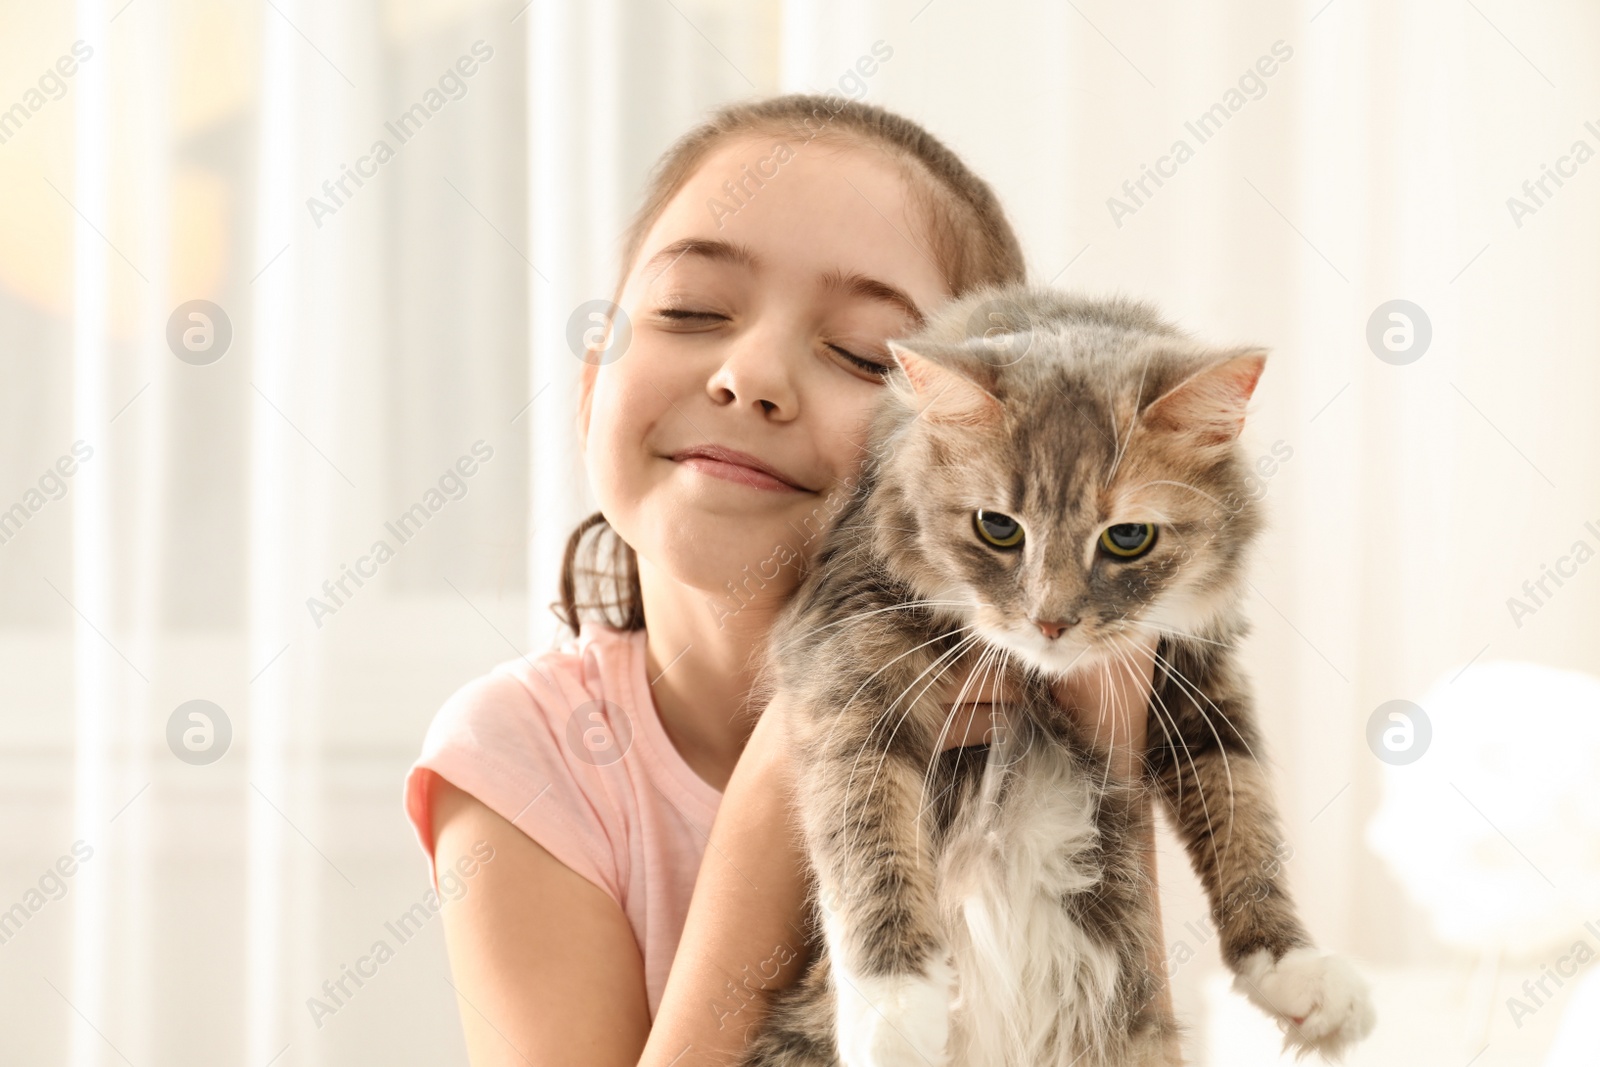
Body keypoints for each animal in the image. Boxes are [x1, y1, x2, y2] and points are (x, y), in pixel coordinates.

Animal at [736, 283, 1376, 1067]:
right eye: (998, 528)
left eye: (1127, 538)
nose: (1050, 621)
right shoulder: (845, 656)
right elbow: (866, 834)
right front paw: (894, 1019)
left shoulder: (1199, 672)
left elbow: (1244, 813)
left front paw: (1294, 969)